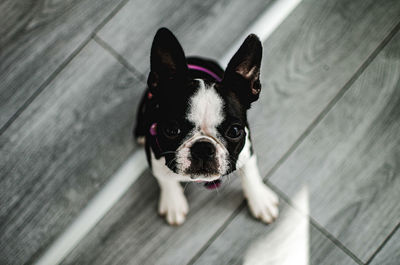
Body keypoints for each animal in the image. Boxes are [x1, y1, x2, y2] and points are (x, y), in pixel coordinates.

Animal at [134, 27, 278, 225]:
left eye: (234, 131)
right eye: (171, 130)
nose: (203, 148)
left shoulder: (246, 150)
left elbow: (250, 173)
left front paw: (260, 200)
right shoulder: (155, 159)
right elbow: (166, 180)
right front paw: (173, 203)